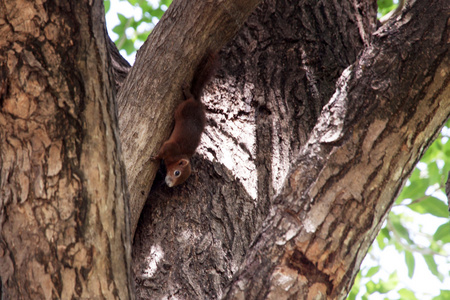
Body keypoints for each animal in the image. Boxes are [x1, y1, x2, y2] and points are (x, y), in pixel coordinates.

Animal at [152, 51, 219, 188]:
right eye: (177, 172)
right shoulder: (170, 147)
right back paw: (186, 90)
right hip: (184, 107)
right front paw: (156, 158)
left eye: (180, 181)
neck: (179, 156)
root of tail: (198, 103)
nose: (169, 185)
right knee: (189, 97)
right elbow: (162, 151)